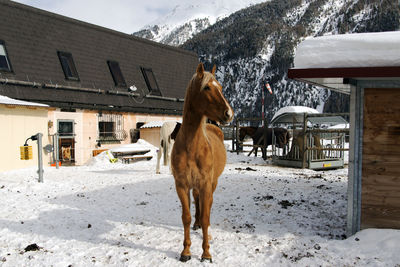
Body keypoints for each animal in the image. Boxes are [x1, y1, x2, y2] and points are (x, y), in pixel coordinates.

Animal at [170, 63, 233, 264]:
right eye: (206, 87)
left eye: (220, 87)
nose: (229, 114)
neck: (192, 147)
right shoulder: (182, 185)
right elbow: (186, 217)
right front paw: (186, 252)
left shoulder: (205, 184)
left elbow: (206, 216)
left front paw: (206, 253)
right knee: (197, 201)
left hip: (212, 183)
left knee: (208, 205)